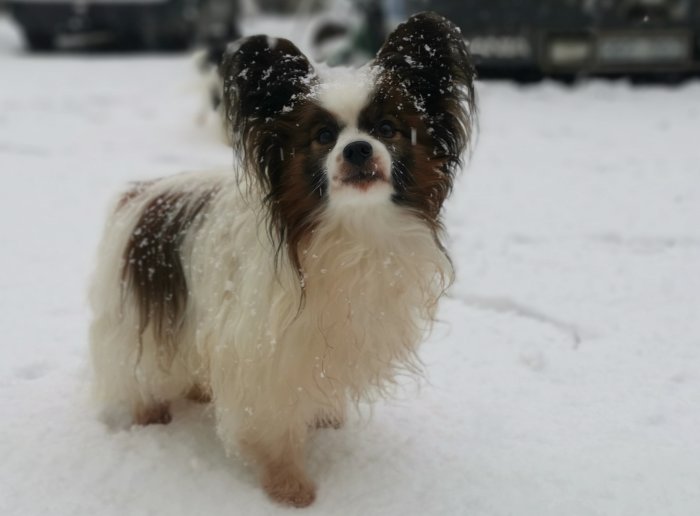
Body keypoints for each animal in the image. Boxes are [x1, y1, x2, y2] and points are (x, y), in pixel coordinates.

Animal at [89, 11, 476, 508]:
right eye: (323, 136)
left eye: (388, 129)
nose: (357, 149)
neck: (350, 229)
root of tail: (141, 192)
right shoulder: (265, 354)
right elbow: (273, 426)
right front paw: (289, 485)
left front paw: (325, 417)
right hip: (140, 307)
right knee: (136, 364)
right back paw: (150, 411)